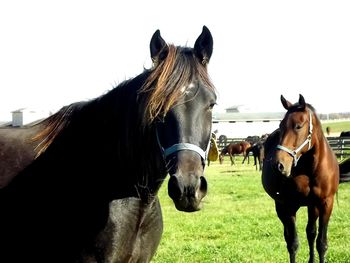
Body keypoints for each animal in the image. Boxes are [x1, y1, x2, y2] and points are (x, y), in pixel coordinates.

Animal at [262, 95, 340, 263]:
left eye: (298, 126)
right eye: (281, 126)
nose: (278, 165)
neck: (311, 169)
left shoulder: (325, 203)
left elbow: (321, 243)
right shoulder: (289, 205)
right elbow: (293, 244)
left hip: (312, 206)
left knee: (311, 233)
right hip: (281, 207)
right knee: (289, 236)